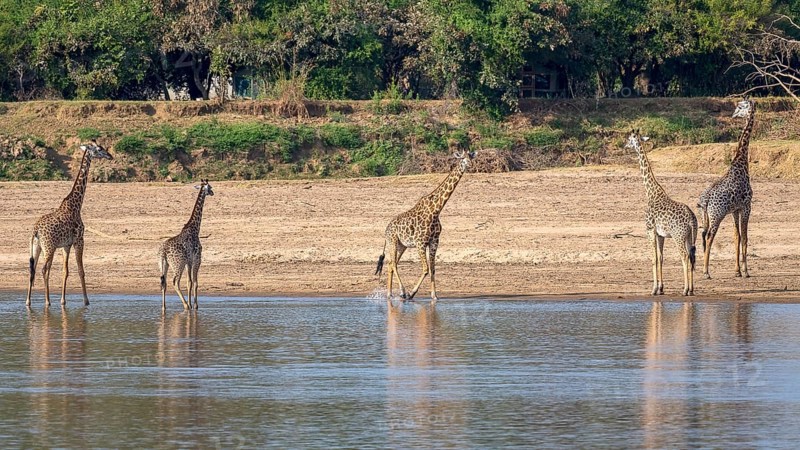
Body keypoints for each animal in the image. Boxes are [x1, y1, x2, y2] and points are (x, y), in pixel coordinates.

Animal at [25, 141, 113, 308]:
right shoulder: (79, 240)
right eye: (99, 149)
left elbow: (65, 271)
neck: (76, 205)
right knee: (44, 269)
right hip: (49, 247)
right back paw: (47, 301)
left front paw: (63, 301)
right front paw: (86, 301)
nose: (110, 156)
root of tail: (36, 230)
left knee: (32, 269)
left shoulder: (66, 245)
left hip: (37, 247)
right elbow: (80, 270)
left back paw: (28, 302)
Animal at [158, 179, 214, 311]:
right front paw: (195, 305)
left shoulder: (189, 261)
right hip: (178, 264)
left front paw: (192, 304)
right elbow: (195, 282)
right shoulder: (197, 259)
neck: (195, 228)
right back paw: (185, 305)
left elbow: (189, 282)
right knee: (174, 282)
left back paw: (164, 307)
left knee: (163, 283)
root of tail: (163, 252)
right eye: (210, 187)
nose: (212, 193)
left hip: (163, 265)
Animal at [375, 150, 475, 305]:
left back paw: (389, 294)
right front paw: (411, 293)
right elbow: (426, 269)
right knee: (394, 264)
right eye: (463, 159)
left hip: (402, 245)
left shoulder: (434, 242)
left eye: (471, 157)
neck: (436, 210)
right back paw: (402, 292)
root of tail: (386, 230)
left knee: (391, 264)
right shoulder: (420, 243)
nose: (470, 165)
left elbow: (433, 269)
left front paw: (435, 296)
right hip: (393, 242)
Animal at [626, 130, 698, 296]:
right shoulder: (661, 235)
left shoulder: (650, 230)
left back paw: (685, 290)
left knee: (684, 256)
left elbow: (654, 258)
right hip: (691, 236)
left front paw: (654, 289)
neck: (651, 193)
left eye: (629, 139)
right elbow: (661, 258)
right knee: (691, 257)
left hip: (679, 236)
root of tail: (691, 218)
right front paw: (661, 288)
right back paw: (691, 290)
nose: (625, 145)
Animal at [697, 98, 755, 279]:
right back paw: (706, 272)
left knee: (702, 235)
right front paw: (746, 271)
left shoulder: (735, 210)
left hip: (706, 216)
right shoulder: (747, 206)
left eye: (740, 107)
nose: (734, 115)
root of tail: (705, 200)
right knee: (709, 237)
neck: (741, 164)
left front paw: (737, 271)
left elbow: (736, 237)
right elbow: (745, 238)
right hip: (717, 216)